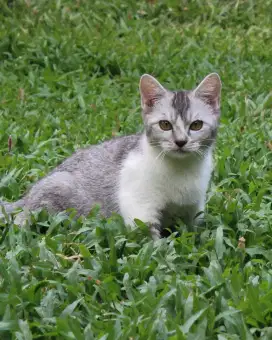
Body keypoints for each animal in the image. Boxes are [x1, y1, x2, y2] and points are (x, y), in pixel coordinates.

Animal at [0, 73, 221, 239]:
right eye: (165, 124)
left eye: (196, 125)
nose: (181, 142)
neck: (180, 170)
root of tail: (26, 198)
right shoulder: (139, 208)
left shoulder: (194, 209)